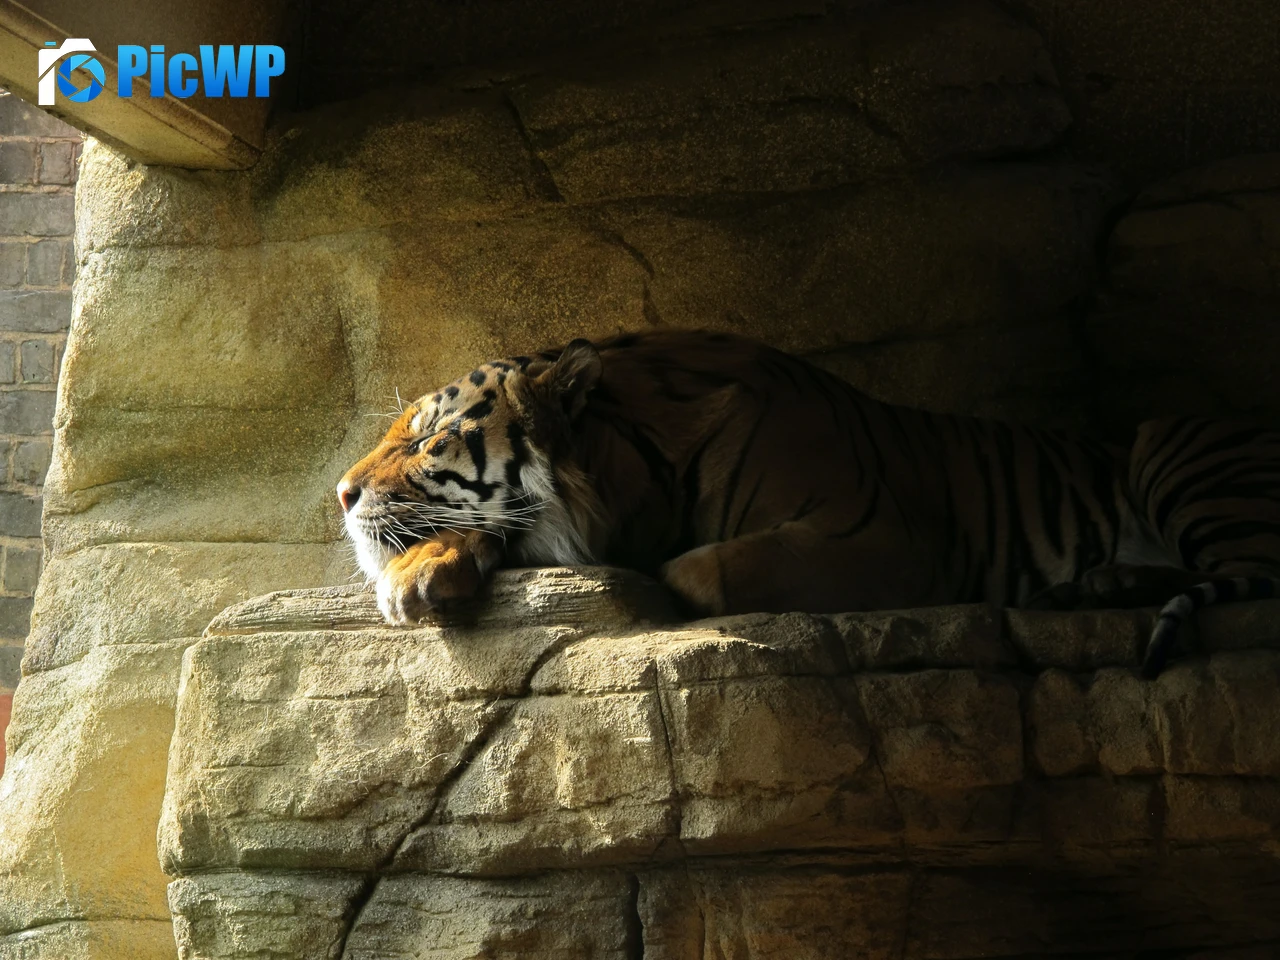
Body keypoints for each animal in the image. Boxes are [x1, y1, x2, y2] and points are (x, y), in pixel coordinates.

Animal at [337, 329, 1280, 677]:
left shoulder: (889, 538)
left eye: (426, 439)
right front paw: (419, 573)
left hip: (1172, 446)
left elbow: (701, 571)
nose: (340, 493)